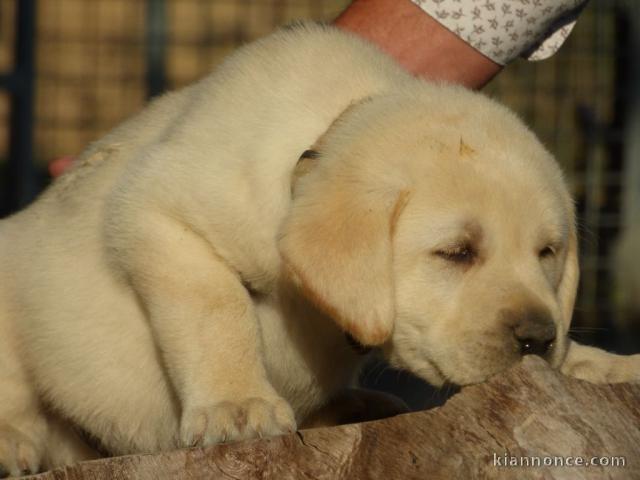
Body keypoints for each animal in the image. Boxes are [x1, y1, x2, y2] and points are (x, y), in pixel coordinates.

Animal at [1, 21, 640, 472]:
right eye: (457, 252)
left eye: (547, 254)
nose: (536, 339)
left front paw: (595, 363)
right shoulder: (157, 214)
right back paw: (13, 442)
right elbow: (218, 309)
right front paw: (239, 405)